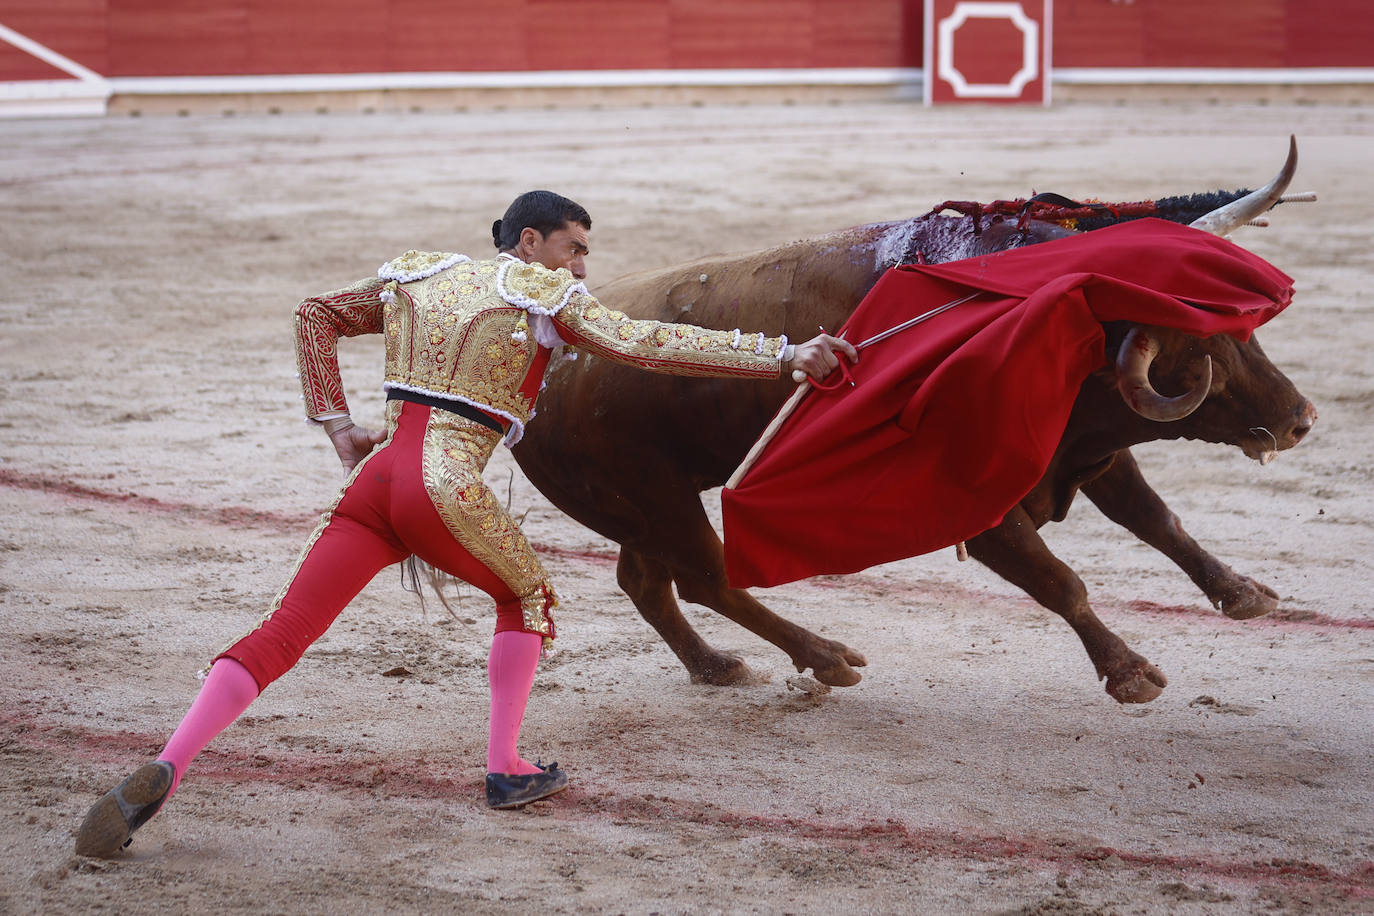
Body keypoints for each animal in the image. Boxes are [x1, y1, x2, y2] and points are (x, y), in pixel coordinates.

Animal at [511, 141, 1313, 703]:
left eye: (1244, 330)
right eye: (1202, 353)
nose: (1301, 420)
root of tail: (552, 351)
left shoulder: (1088, 451)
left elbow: (1158, 520)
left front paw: (1245, 594)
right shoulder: (981, 506)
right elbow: (1061, 582)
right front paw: (1130, 673)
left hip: (644, 503)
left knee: (648, 582)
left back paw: (717, 667)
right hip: (654, 501)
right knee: (710, 580)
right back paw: (827, 658)